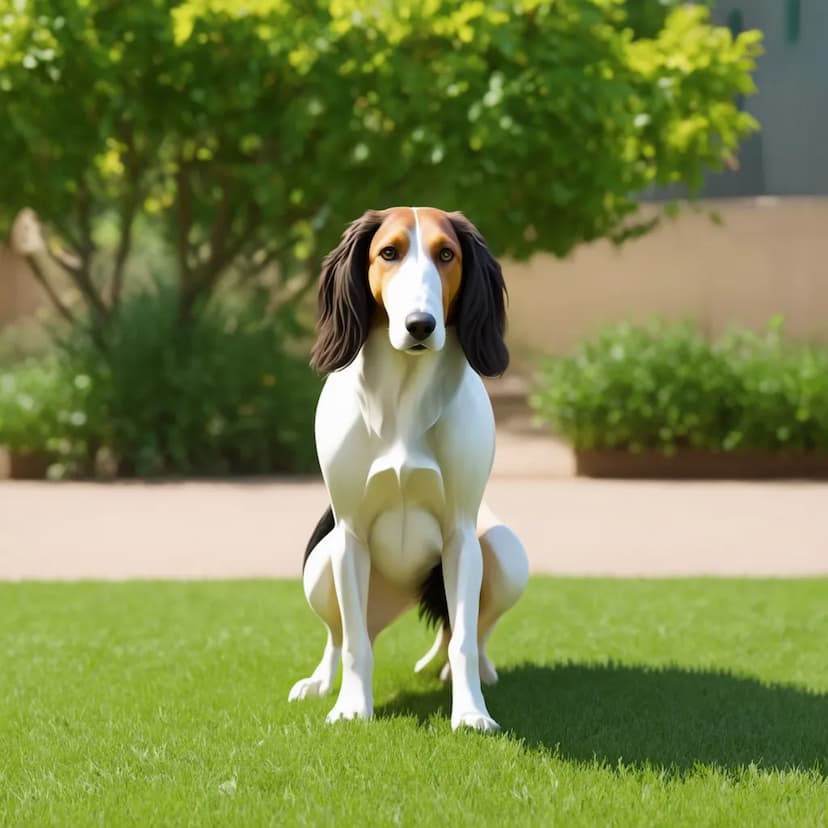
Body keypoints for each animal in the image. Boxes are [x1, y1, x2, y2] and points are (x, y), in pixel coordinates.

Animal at [288, 207, 528, 732]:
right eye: (389, 252)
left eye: (447, 254)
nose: (420, 325)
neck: (403, 398)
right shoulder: (350, 536)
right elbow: (354, 645)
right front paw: (352, 707)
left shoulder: (460, 537)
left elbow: (462, 638)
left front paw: (471, 712)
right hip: (321, 566)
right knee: (341, 635)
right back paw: (319, 682)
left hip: (505, 554)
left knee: (470, 630)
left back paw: (479, 670)